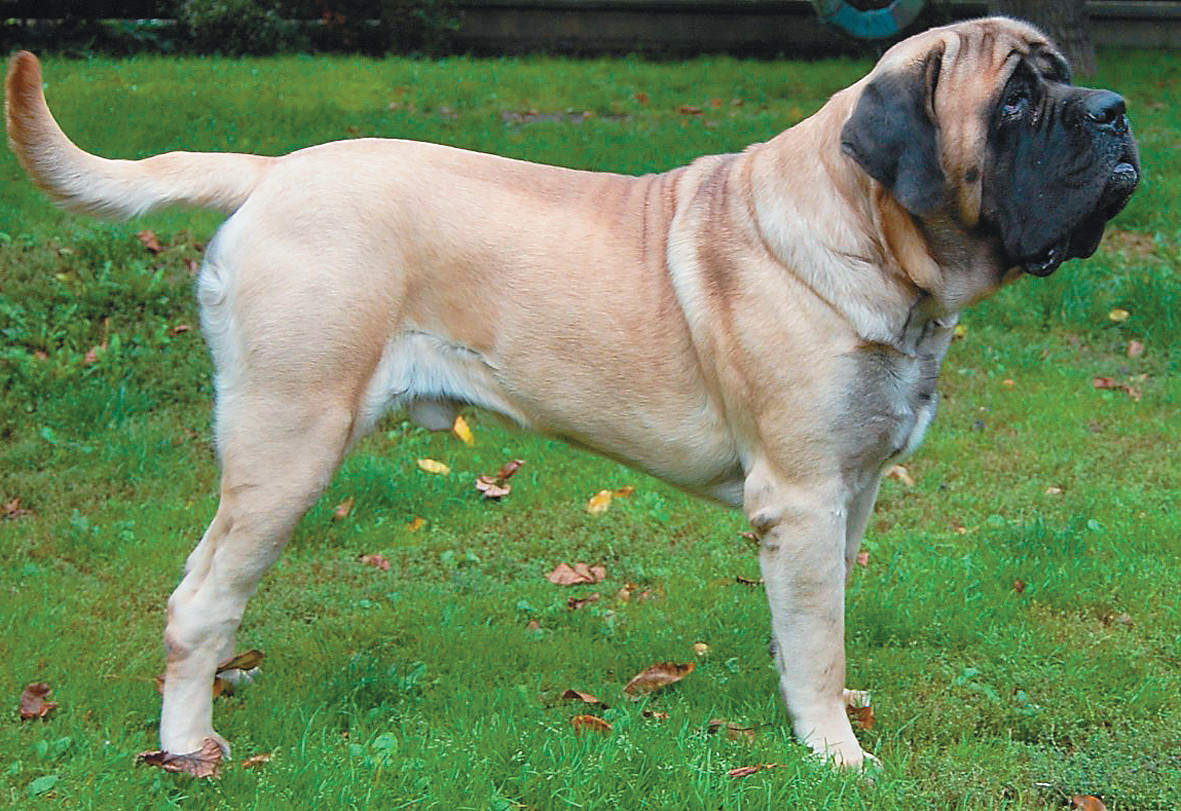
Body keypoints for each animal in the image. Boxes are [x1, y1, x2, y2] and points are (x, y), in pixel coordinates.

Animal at [5, 16, 1138, 771]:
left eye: (1059, 82)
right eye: (1014, 101)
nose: (1115, 111)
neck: (870, 236)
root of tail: (271, 171)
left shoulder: (844, 493)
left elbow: (817, 622)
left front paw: (819, 702)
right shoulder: (803, 494)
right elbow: (816, 634)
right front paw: (834, 752)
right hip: (287, 443)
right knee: (198, 598)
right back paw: (188, 740)